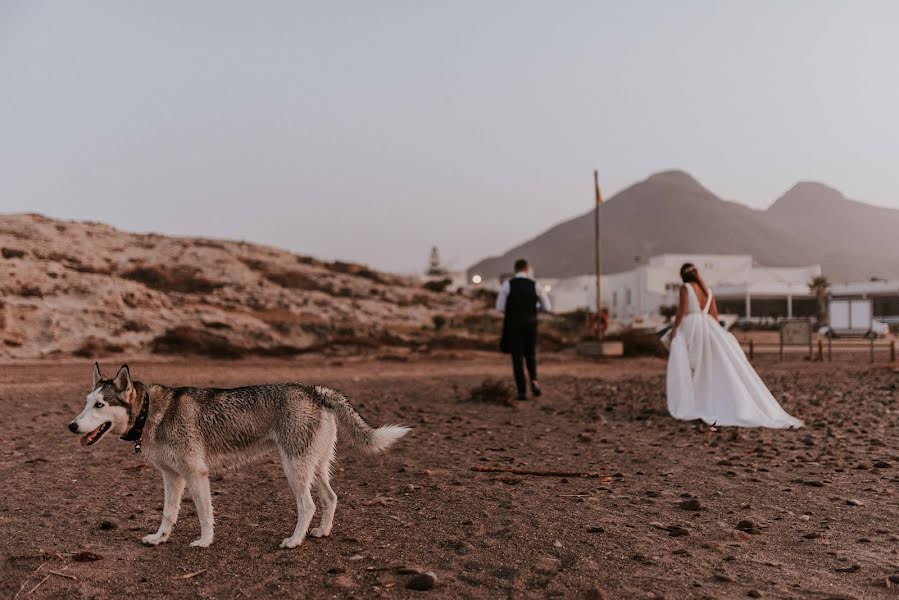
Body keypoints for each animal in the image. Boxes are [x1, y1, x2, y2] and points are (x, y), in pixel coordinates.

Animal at [67, 366, 412, 548]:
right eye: (86, 402)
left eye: (100, 405)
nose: (71, 426)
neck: (150, 412)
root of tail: (315, 390)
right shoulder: (172, 477)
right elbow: (168, 513)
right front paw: (159, 538)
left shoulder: (196, 475)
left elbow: (205, 514)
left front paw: (204, 542)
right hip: (314, 467)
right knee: (331, 498)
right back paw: (322, 532)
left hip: (294, 469)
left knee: (309, 505)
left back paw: (294, 541)